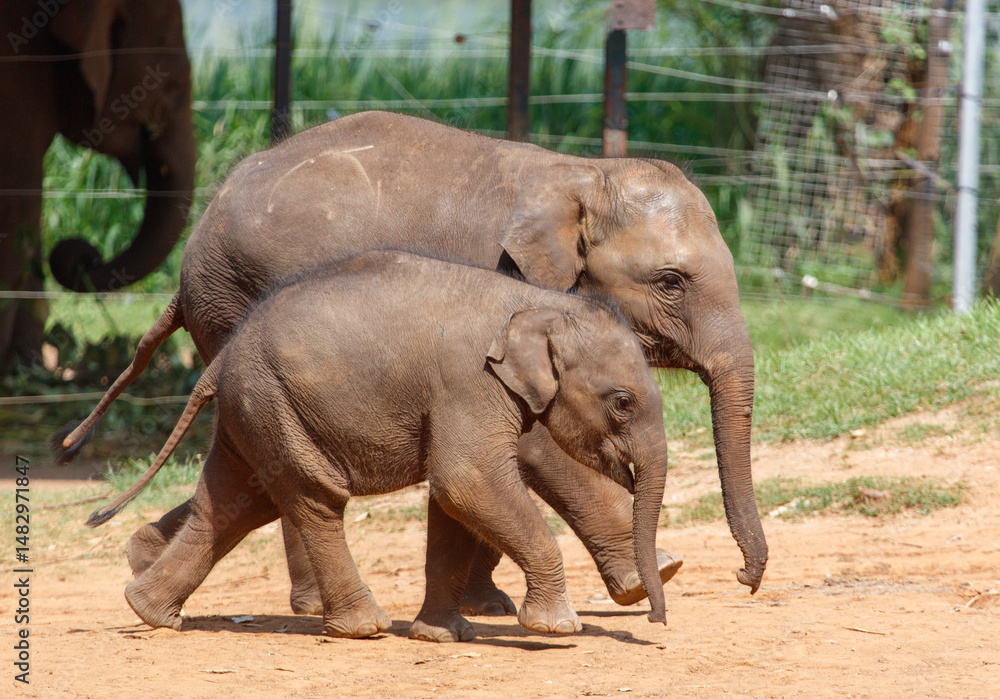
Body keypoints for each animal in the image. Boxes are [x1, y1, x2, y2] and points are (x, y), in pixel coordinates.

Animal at [89, 251, 671, 642]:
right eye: (622, 402)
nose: (656, 621)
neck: (538, 303)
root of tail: (220, 359)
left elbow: (452, 500)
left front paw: (440, 635)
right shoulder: (467, 383)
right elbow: (468, 481)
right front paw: (556, 629)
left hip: (256, 409)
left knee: (235, 503)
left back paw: (148, 612)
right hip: (275, 405)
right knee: (314, 499)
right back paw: (362, 627)